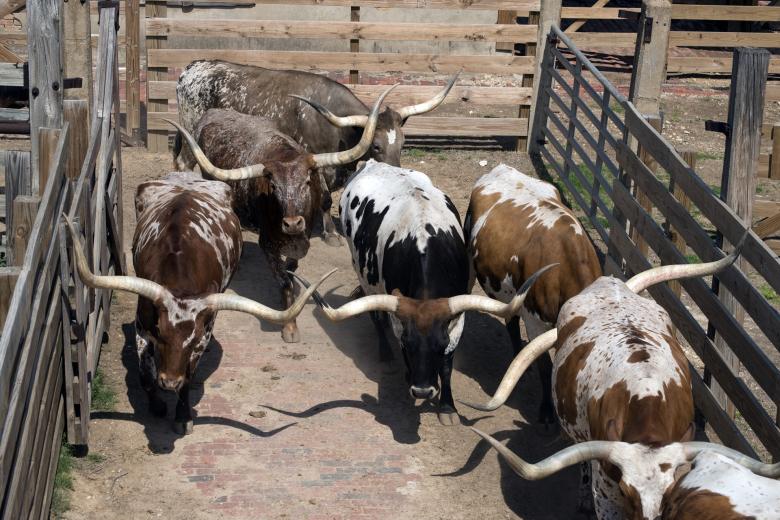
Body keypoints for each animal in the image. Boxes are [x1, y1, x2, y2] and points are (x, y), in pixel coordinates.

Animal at [62, 173, 333, 434]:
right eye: (160, 335)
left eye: (191, 342)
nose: (169, 382)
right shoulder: (143, 325)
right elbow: (146, 375)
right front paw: (158, 406)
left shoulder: (204, 333)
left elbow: (189, 377)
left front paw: (183, 417)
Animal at [167, 86, 394, 344]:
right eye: (273, 186)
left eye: (307, 182)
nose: (293, 223)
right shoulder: (268, 243)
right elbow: (284, 281)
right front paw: (290, 326)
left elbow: (290, 271)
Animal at [174, 59, 458, 242]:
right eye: (376, 146)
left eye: (402, 143)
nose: (396, 175)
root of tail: (191, 68)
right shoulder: (316, 161)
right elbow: (325, 198)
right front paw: (330, 233)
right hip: (191, 132)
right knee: (183, 163)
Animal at [292, 159, 557, 426]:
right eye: (409, 345)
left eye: (440, 345)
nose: (422, 391)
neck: (423, 241)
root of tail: (372, 163)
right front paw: (409, 374)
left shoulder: (455, 321)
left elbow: (448, 365)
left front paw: (447, 406)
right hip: (362, 270)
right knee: (375, 315)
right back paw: (385, 352)